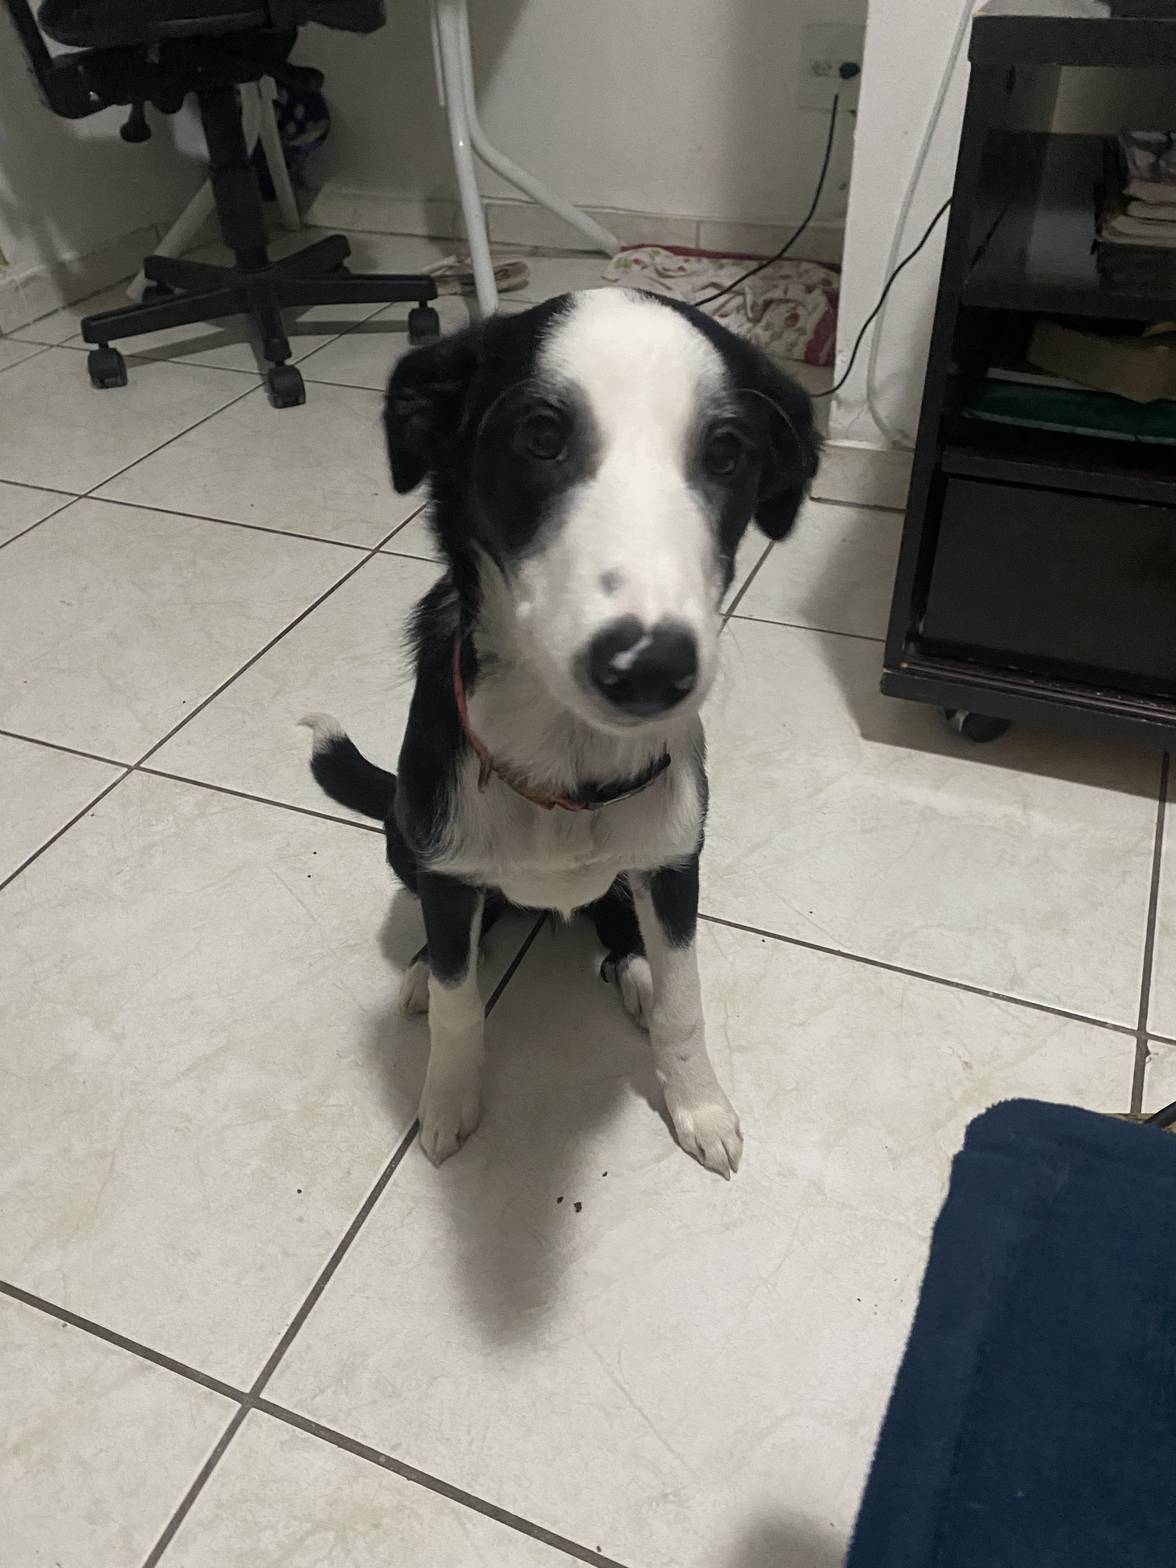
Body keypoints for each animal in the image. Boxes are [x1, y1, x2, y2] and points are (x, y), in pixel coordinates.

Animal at [304, 288, 818, 1176]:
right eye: (541, 436)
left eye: (727, 452)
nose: (649, 665)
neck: (566, 755)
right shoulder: (445, 864)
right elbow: (458, 1005)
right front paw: (446, 1100)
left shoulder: (676, 864)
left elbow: (686, 1000)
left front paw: (698, 1104)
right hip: (405, 837)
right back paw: (424, 971)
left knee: (618, 926)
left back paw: (632, 966)